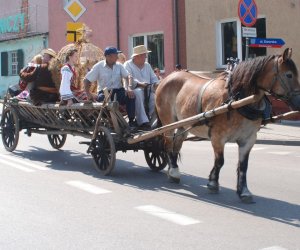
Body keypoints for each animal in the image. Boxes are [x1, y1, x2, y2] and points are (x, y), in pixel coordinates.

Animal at [156, 47, 298, 202]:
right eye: (289, 75)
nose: (299, 103)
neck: (237, 101)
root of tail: (168, 77)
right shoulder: (218, 137)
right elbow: (220, 161)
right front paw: (213, 183)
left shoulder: (248, 139)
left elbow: (243, 165)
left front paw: (244, 191)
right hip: (168, 122)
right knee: (168, 144)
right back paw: (173, 172)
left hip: (183, 124)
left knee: (176, 145)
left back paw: (173, 169)